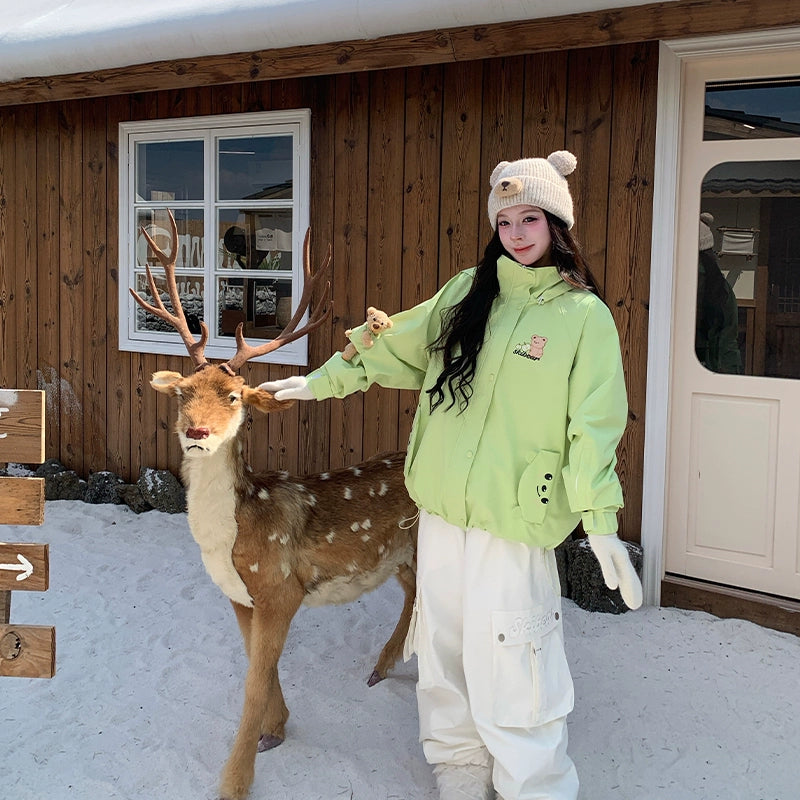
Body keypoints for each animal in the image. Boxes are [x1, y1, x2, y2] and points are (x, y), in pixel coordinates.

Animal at [132, 211, 418, 800]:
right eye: (183, 393)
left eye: (234, 396)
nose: (196, 432)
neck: (232, 539)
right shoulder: (242, 597)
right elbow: (258, 669)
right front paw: (277, 729)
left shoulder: (280, 586)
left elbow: (252, 682)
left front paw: (235, 780)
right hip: (399, 556)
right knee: (411, 592)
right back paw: (383, 665)